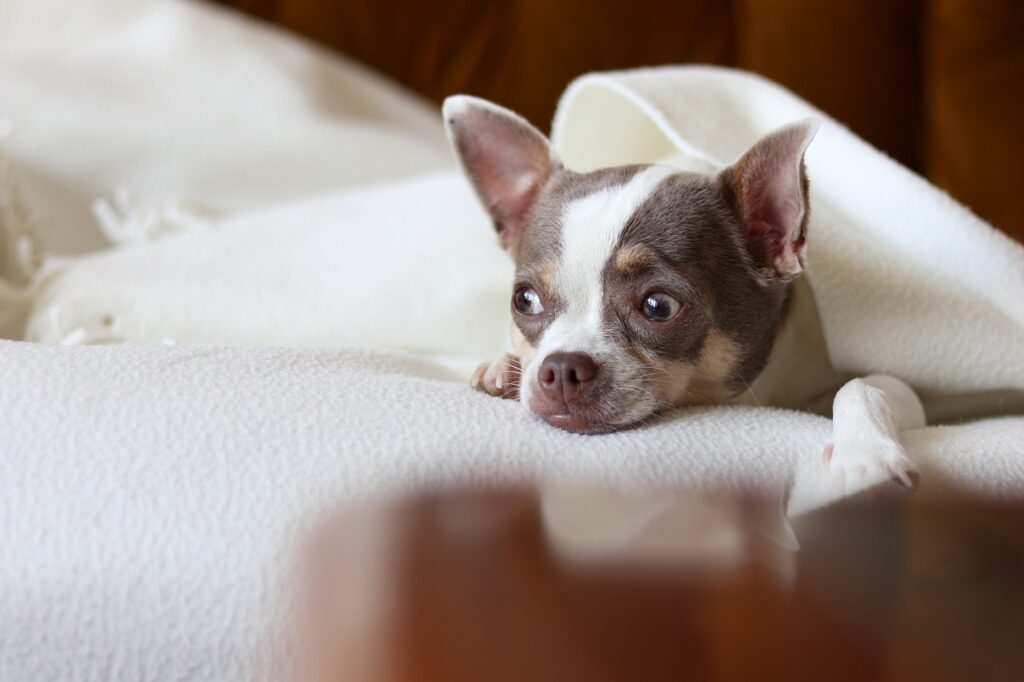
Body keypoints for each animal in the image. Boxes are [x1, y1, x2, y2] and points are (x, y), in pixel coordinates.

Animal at [444, 95, 925, 493]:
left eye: (659, 307)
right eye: (524, 300)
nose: (561, 367)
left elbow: (862, 386)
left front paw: (864, 457)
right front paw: (501, 365)